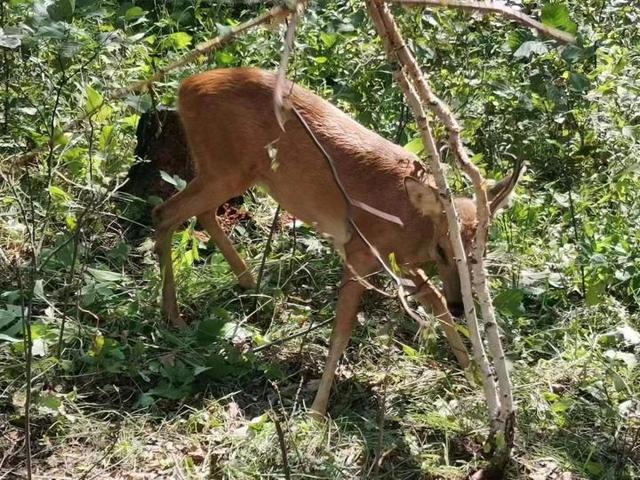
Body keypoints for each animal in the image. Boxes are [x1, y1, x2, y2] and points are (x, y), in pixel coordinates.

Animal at [152, 67, 524, 416]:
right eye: (444, 249)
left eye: (478, 255)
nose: (463, 305)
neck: (412, 223)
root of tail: (186, 86)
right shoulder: (359, 252)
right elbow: (342, 332)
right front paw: (318, 411)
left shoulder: (398, 261)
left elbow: (434, 298)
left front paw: (473, 376)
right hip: (225, 168)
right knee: (164, 212)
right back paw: (174, 314)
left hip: (229, 172)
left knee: (199, 213)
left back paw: (252, 287)